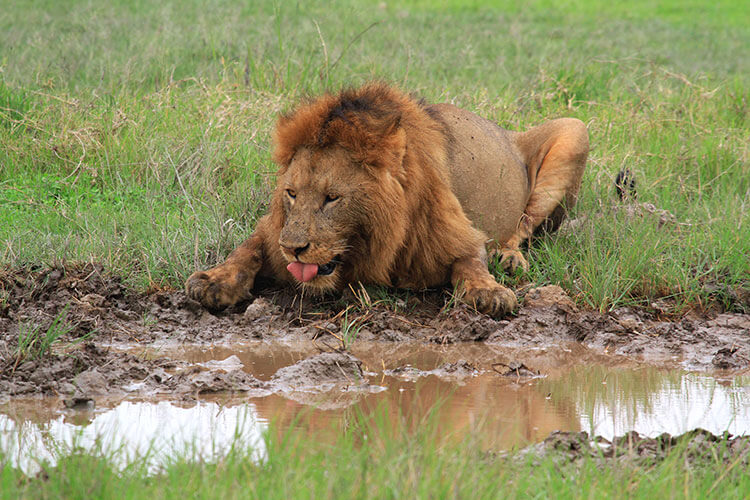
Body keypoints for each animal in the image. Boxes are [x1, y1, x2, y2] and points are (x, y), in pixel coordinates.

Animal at [185, 82, 592, 316]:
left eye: (332, 198)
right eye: (291, 193)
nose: (293, 250)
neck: (372, 243)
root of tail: (507, 131)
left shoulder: (459, 233)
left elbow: (471, 264)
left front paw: (489, 292)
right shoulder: (273, 231)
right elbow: (246, 249)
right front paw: (213, 280)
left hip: (574, 130)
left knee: (523, 226)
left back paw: (509, 258)